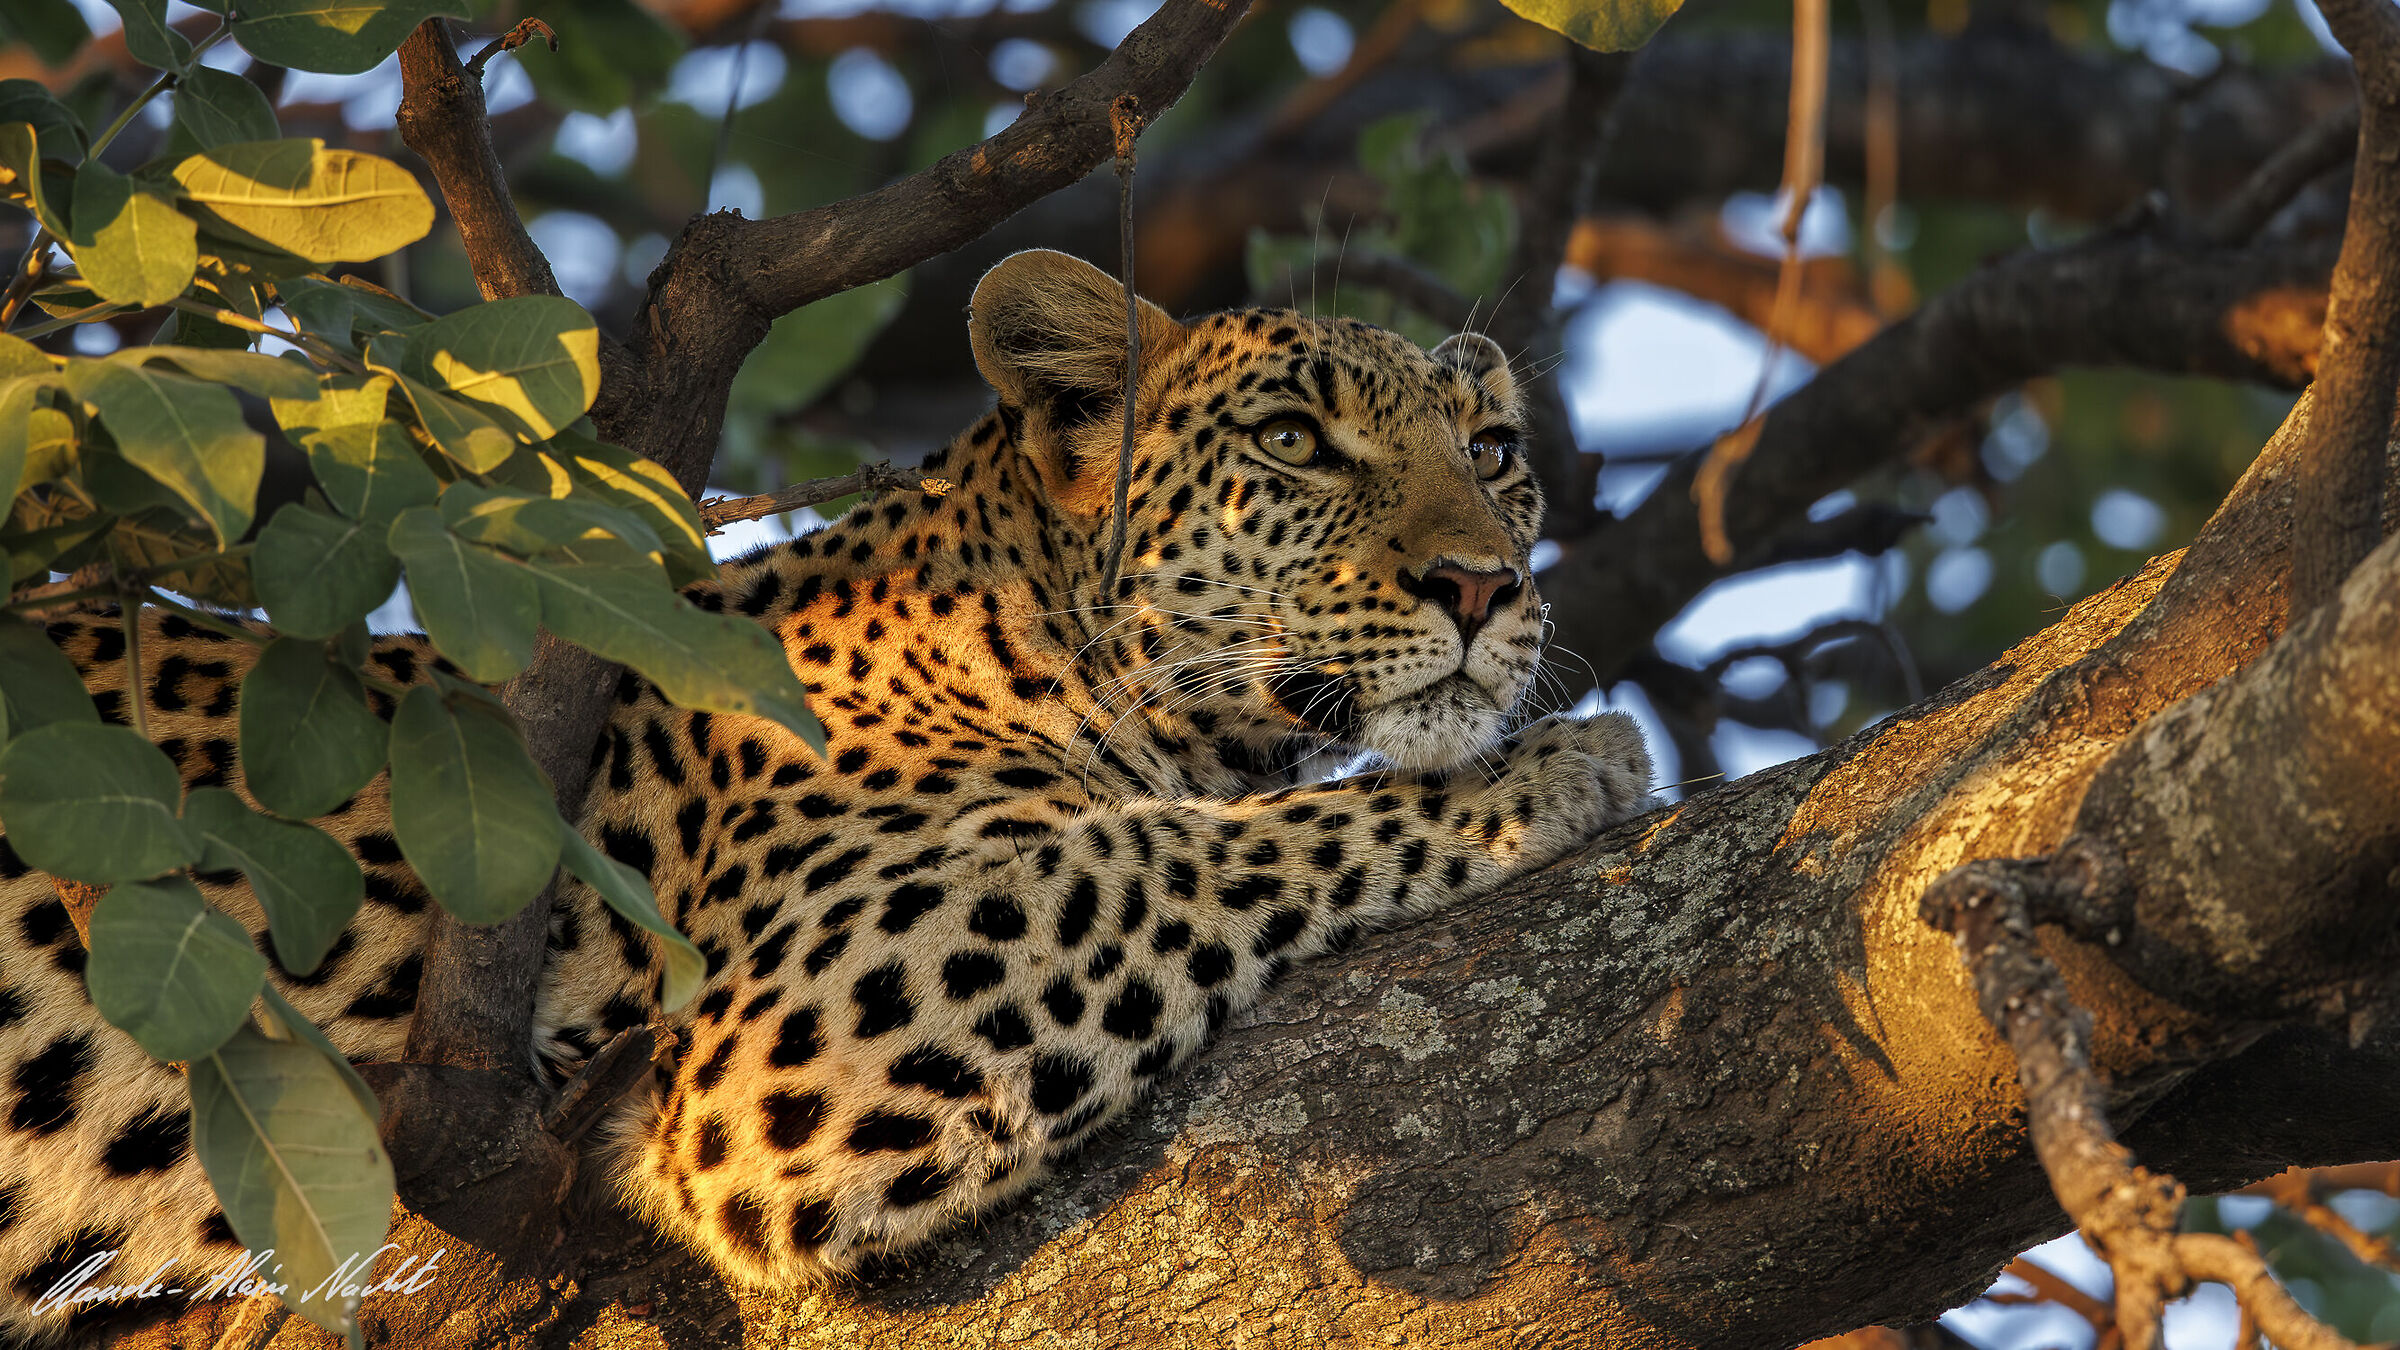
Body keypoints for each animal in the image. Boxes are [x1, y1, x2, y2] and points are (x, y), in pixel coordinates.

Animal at [0, 248, 1654, 1341]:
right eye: (1296, 442)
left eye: (1494, 451)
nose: (1484, 585)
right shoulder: (797, 1022)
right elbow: (1176, 848)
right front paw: (1560, 765)